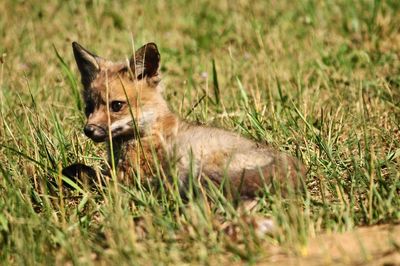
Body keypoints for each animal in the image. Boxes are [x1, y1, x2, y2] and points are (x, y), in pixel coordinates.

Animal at [63, 42, 306, 197]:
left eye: (116, 105)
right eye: (88, 108)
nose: (89, 129)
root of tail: (290, 162)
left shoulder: (129, 174)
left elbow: (83, 172)